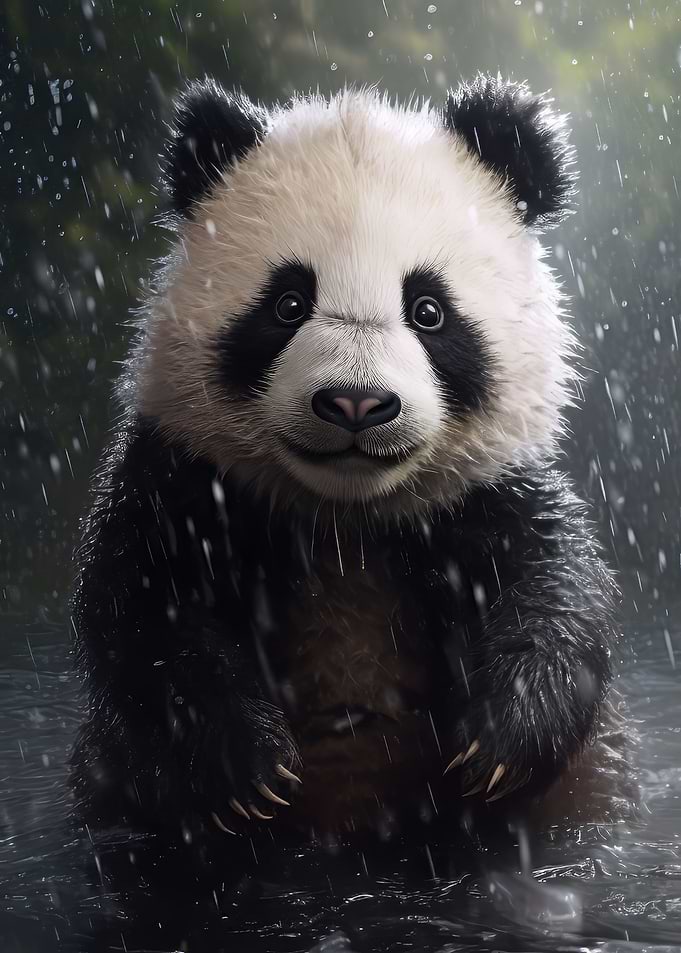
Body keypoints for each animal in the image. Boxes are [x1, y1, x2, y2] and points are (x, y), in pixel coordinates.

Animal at [71, 75, 619, 841]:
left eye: (428, 310)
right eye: (287, 303)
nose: (356, 404)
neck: (346, 519)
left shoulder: (488, 489)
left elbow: (556, 588)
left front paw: (500, 739)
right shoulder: (187, 479)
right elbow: (146, 609)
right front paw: (250, 763)